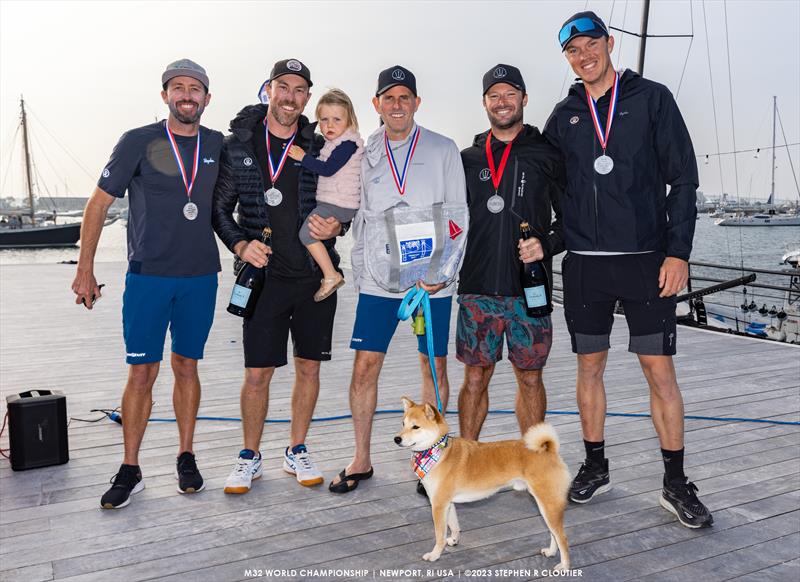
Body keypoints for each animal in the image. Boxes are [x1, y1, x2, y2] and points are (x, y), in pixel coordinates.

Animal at [394, 400, 568, 572]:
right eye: (403, 423)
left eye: (415, 427)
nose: (396, 439)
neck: (438, 452)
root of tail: (549, 450)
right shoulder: (448, 503)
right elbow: (454, 525)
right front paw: (454, 540)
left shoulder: (438, 505)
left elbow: (439, 534)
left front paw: (435, 555)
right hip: (544, 505)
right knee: (553, 534)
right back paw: (551, 552)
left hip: (548, 504)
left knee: (562, 537)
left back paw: (564, 566)